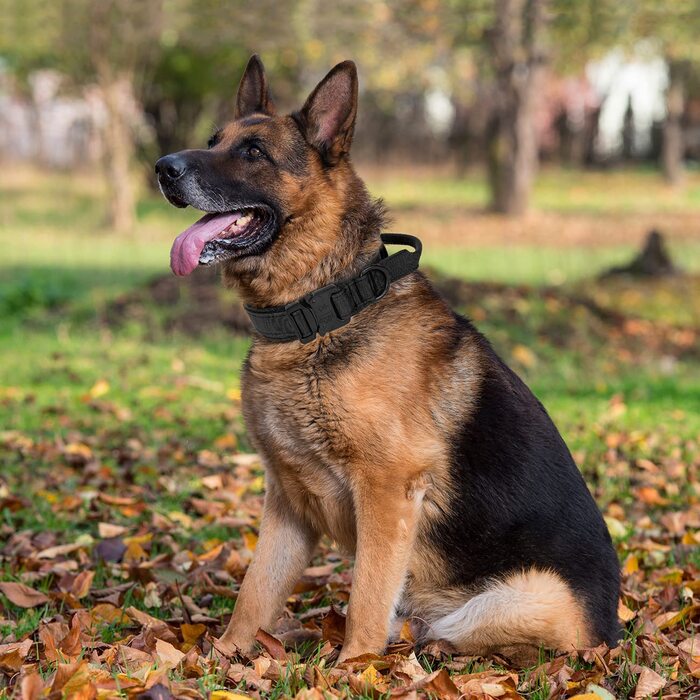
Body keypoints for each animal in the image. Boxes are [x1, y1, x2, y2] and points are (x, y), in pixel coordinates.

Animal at [157, 56, 616, 660]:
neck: (320, 311)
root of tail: (610, 634)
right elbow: (254, 593)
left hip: (506, 602)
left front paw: (353, 667)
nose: (162, 168)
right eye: (215, 140)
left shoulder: (386, 492)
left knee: (452, 632)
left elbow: (366, 598)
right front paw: (222, 659)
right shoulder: (287, 502)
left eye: (253, 152)